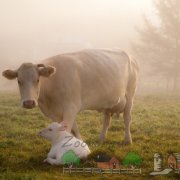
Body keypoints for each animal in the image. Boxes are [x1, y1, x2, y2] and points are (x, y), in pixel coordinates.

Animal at [2, 49, 138, 145]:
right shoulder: (55, 113)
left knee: (127, 118)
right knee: (106, 119)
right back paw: (101, 138)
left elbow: (67, 130)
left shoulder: (71, 107)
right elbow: (73, 129)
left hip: (130, 95)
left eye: (37, 80)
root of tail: (129, 55)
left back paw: (128, 140)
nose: (29, 103)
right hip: (108, 101)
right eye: (19, 81)